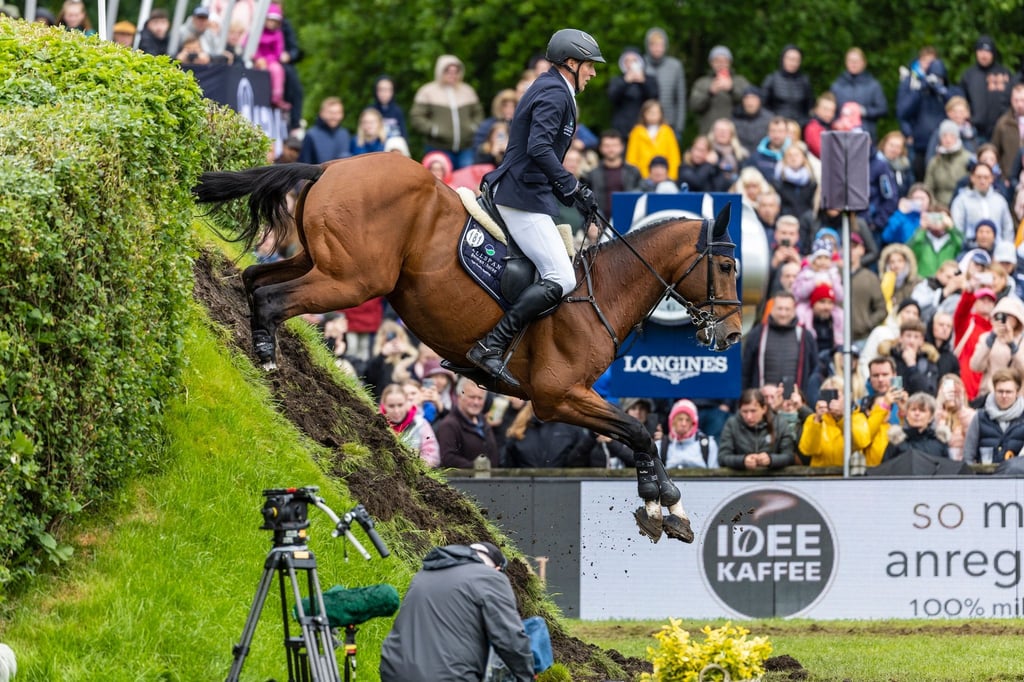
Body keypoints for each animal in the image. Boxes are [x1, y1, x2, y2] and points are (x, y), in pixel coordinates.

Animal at [192, 153, 741, 540]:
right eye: (728, 266)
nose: (733, 333)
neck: (603, 289)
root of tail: (330, 165)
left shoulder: (571, 396)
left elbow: (637, 434)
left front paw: (669, 507)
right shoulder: (558, 395)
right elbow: (639, 431)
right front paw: (659, 502)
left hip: (317, 263)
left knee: (253, 279)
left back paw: (258, 350)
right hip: (350, 281)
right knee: (271, 298)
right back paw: (267, 366)